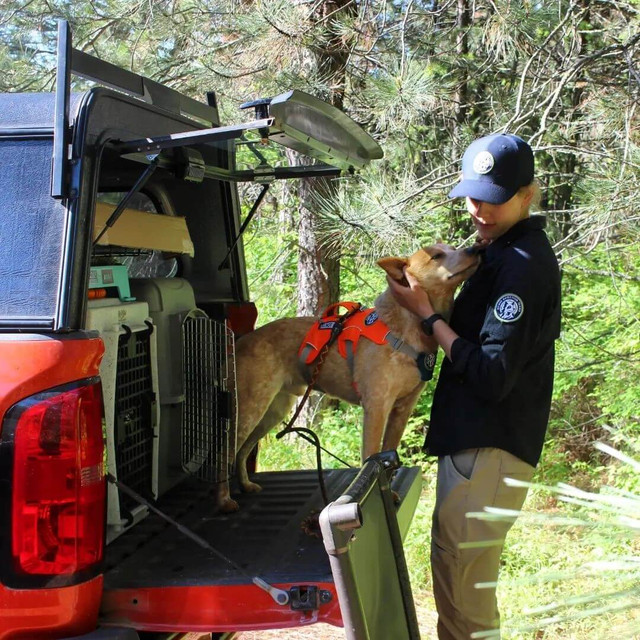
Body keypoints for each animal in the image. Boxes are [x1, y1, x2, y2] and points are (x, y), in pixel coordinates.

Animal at [216, 242, 480, 512]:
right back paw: (224, 499)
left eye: (451, 248)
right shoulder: (376, 407)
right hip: (248, 410)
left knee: (242, 451)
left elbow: (389, 454)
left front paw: (391, 495)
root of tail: (240, 342)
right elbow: (372, 458)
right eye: (436, 256)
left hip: (274, 411)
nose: (476, 249)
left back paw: (245, 484)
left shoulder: (402, 410)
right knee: (224, 453)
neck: (408, 327)